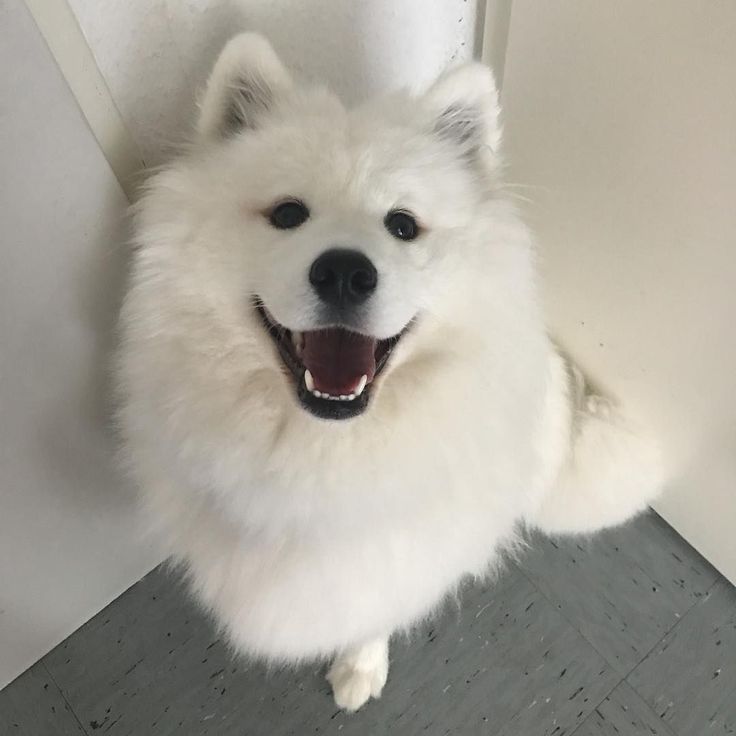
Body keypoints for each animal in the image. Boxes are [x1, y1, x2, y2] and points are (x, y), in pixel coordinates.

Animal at [116, 33, 663, 711]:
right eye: (288, 213)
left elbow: (372, 606)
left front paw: (359, 665)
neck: (325, 451)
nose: (345, 272)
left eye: (402, 225)